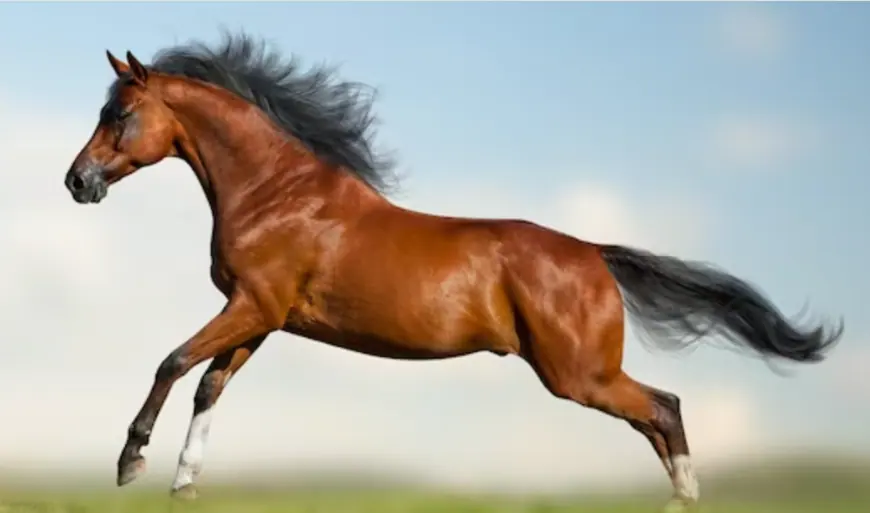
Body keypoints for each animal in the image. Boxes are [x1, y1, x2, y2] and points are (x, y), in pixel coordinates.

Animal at [63, 33, 843, 511]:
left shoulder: (252, 305)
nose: (77, 182)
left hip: (578, 373)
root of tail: (594, 252)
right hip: (581, 374)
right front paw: (183, 485)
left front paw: (130, 462)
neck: (275, 192)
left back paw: (685, 496)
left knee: (665, 407)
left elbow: (173, 362)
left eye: (119, 113)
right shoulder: (262, 317)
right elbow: (209, 386)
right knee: (655, 417)